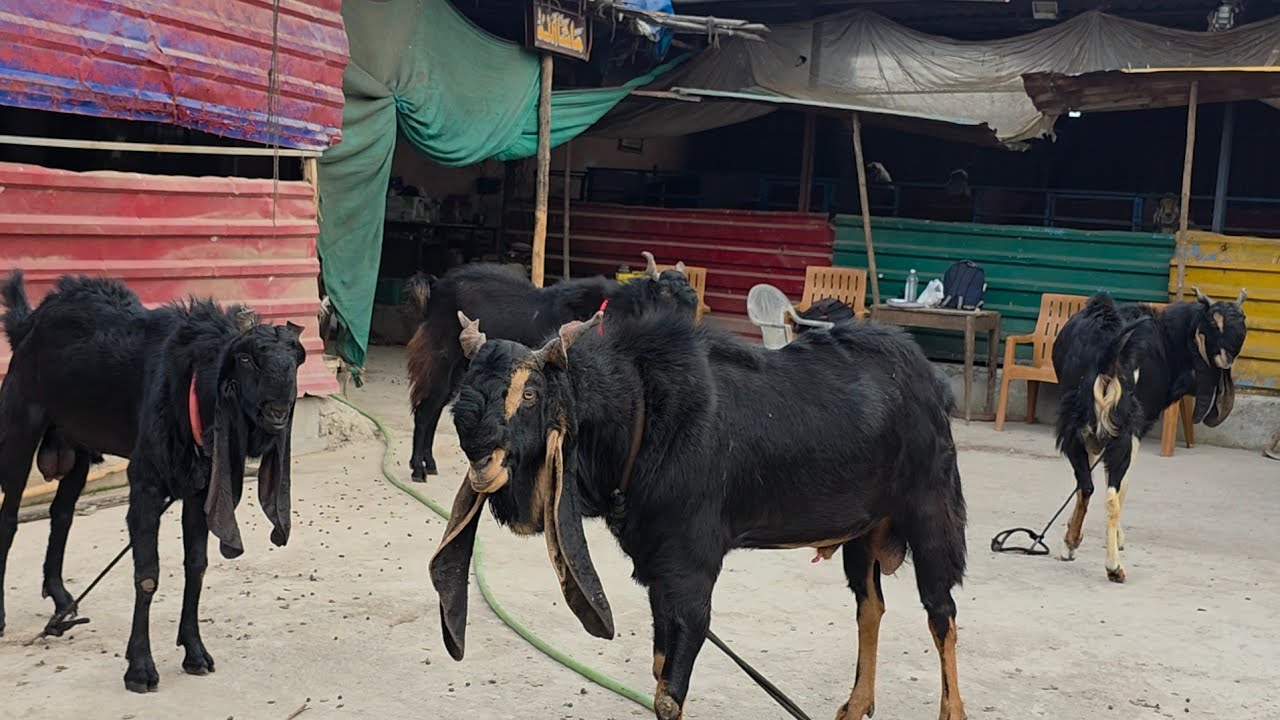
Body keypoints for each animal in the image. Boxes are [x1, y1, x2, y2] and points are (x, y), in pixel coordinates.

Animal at [0, 271, 304, 692]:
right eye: (246, 358)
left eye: (295, 359)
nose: (279, 407)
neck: (190, 383)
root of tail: (26, 324)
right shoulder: (145, 484)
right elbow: (147, 575)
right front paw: (140, 668)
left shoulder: (198, 488)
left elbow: (197, 565)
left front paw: (195, 652)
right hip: (18, 429)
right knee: (9, 519)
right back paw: (4, 615)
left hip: (77, 446)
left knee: (61, 513)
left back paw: (61, 599)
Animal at [405, 251, 698, 480]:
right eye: (663, 291)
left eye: (691, 296)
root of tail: (437, 286)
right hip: (441, 359)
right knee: (426, 409)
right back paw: (418, 469)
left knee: (435, 408)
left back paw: (429, 464)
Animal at [429, 306, 969, 720]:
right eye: (465, 390)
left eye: (530, 393)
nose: (481, 457)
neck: (642, 412)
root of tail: (932, 382)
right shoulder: (657, 565)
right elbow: (658, 668)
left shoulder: (691, 565)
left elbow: (669, 692)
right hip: (865, 528)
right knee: (870, 605)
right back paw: (855, 706)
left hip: (931, 512)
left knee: (941, 614)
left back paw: (951, 710)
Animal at [1052, 288, 1246, 583]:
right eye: (1215, 325)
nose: (1229, 357)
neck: (1168, 340)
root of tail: (1107, 356)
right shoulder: (1136, 429)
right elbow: (1121, 486)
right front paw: (1116, 538)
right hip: (1119, 431)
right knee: (1109, 495)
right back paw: (1114, 567)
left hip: (1075, 428)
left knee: (1086, 486)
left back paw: (1071, 544)